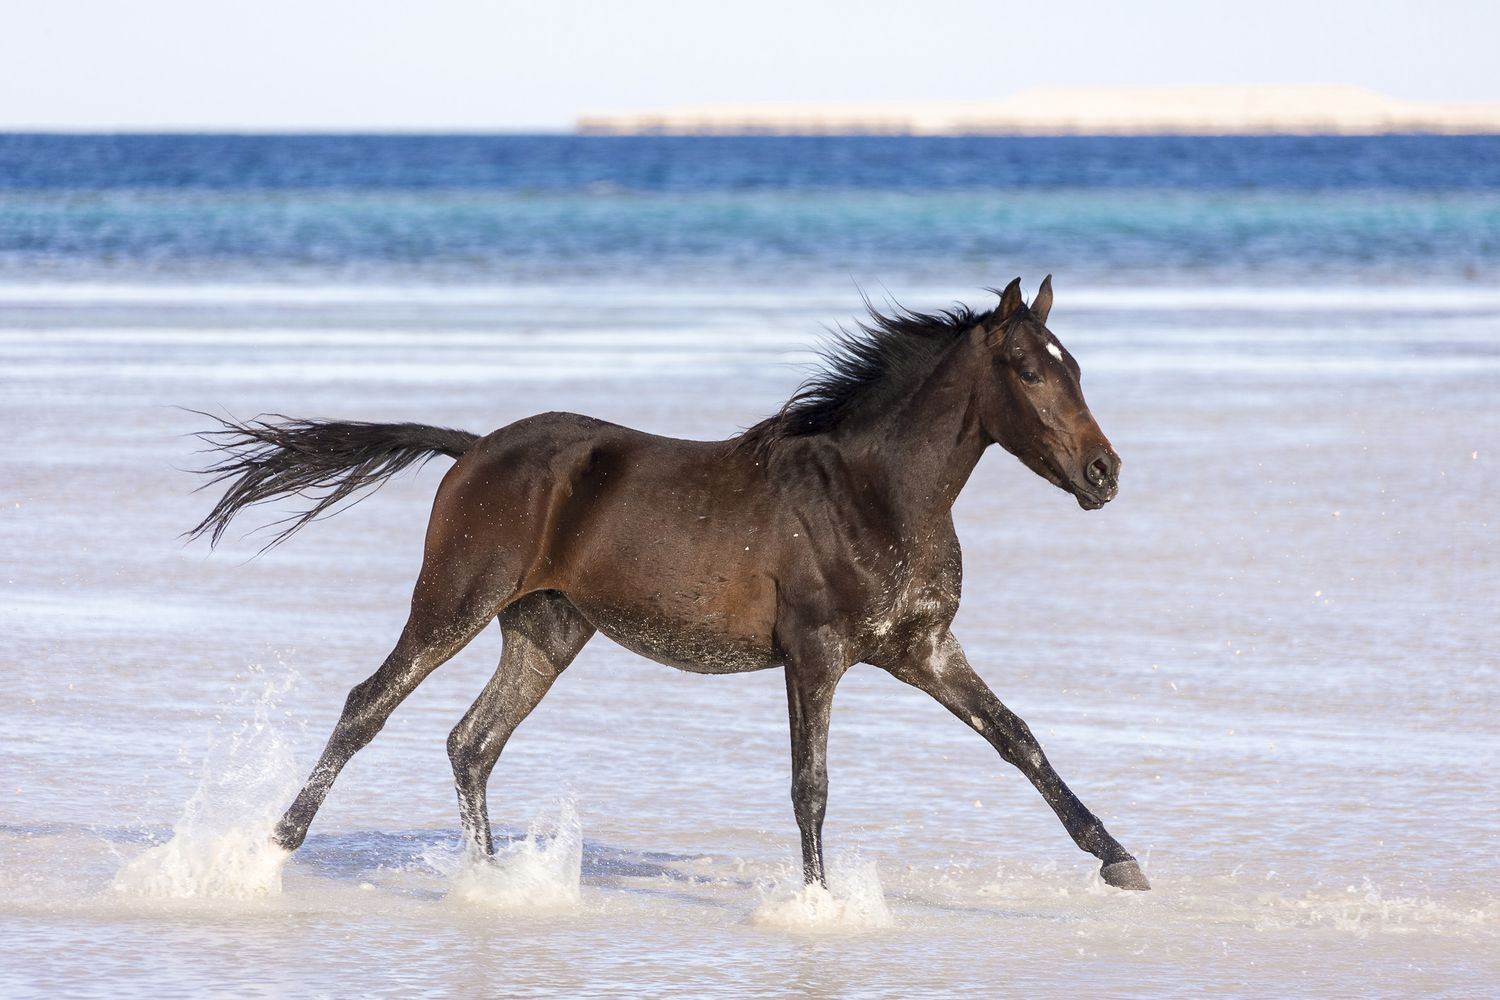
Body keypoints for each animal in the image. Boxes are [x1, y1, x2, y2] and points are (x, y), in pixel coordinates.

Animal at [188, 275, 1150, 892]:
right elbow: (811, 784)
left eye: (1075, 366)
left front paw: (1119, 858)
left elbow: (1019, 740)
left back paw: (493, 881)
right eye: (1030, 369)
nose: (1104, 475)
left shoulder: (924, 649)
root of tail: (474, 448)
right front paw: (818, 902)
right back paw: (273, 846)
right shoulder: (815, 655)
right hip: (456, 601)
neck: (874, 492)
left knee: (472, 742)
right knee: (370, 705)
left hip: (546, 630)